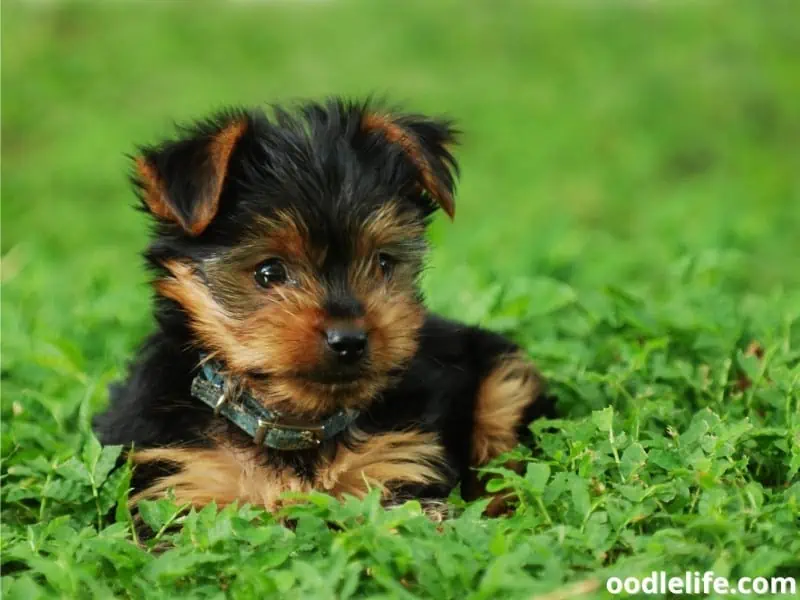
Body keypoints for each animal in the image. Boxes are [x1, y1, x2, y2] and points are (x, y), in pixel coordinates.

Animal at [94, 98, 552, 516]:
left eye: (383, 263)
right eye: (269, 272)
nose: (349, 339)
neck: (295, 423)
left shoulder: (399, 465)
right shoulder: (183, 478)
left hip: (502, 382)